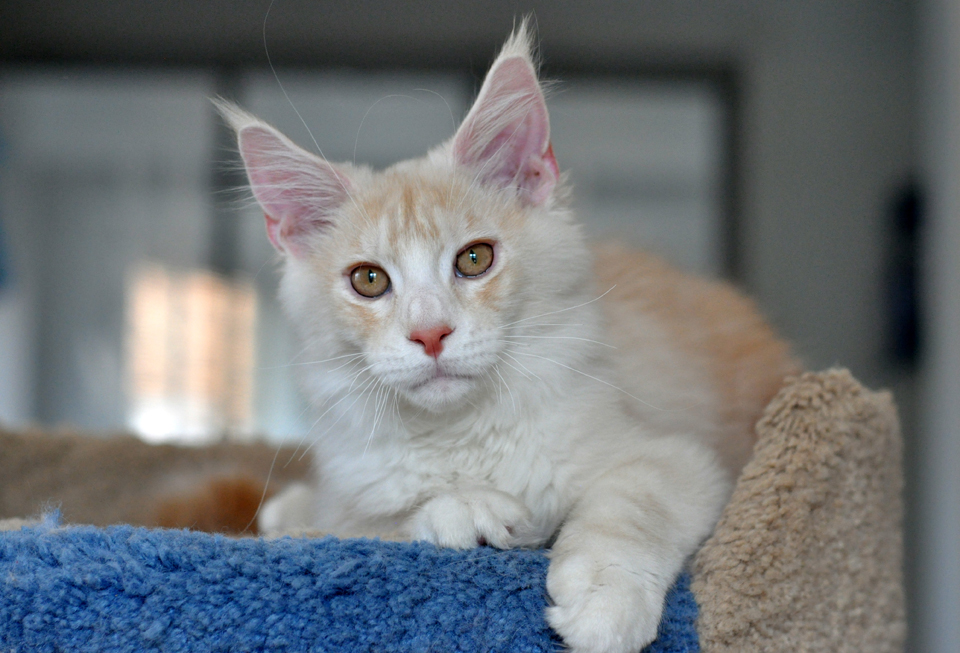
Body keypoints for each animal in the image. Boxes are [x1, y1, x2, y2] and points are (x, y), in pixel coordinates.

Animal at [221, 21, 800, 652]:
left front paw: (605, 600)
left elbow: (631, 507)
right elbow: (375, 523)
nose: (430, 333)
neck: (466, 437)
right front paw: (465, 510)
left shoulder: (683, 457)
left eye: (475, 259)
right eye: (369, 280)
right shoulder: (354, 501)